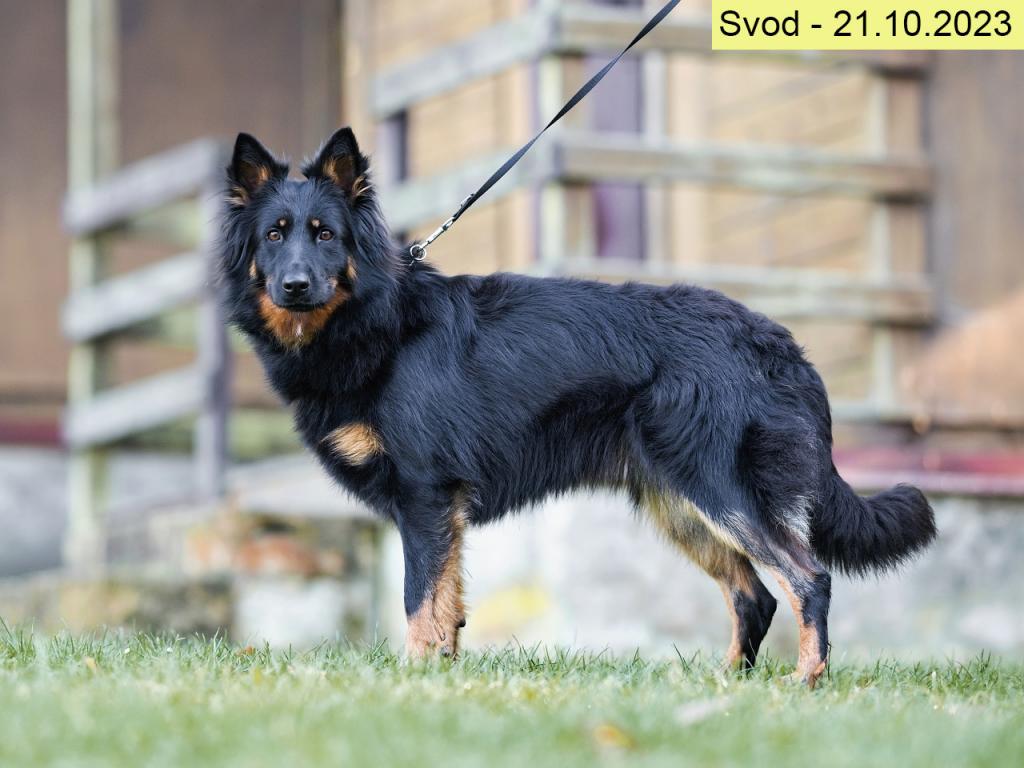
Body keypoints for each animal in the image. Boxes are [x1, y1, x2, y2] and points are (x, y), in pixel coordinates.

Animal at [220, 127, 936, 686]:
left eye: (325, 235)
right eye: (275, 235)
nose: (295, 285)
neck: (377, 322)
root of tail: (776, 342)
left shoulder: (425, 498)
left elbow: (419, 600)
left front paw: (415, 677)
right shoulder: (440, 511)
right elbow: (446, 604)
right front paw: (441, 676)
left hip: (719, 491)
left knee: (807, 576)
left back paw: (806, 679)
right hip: (682, 505)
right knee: (754, 595)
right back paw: (728, 683)